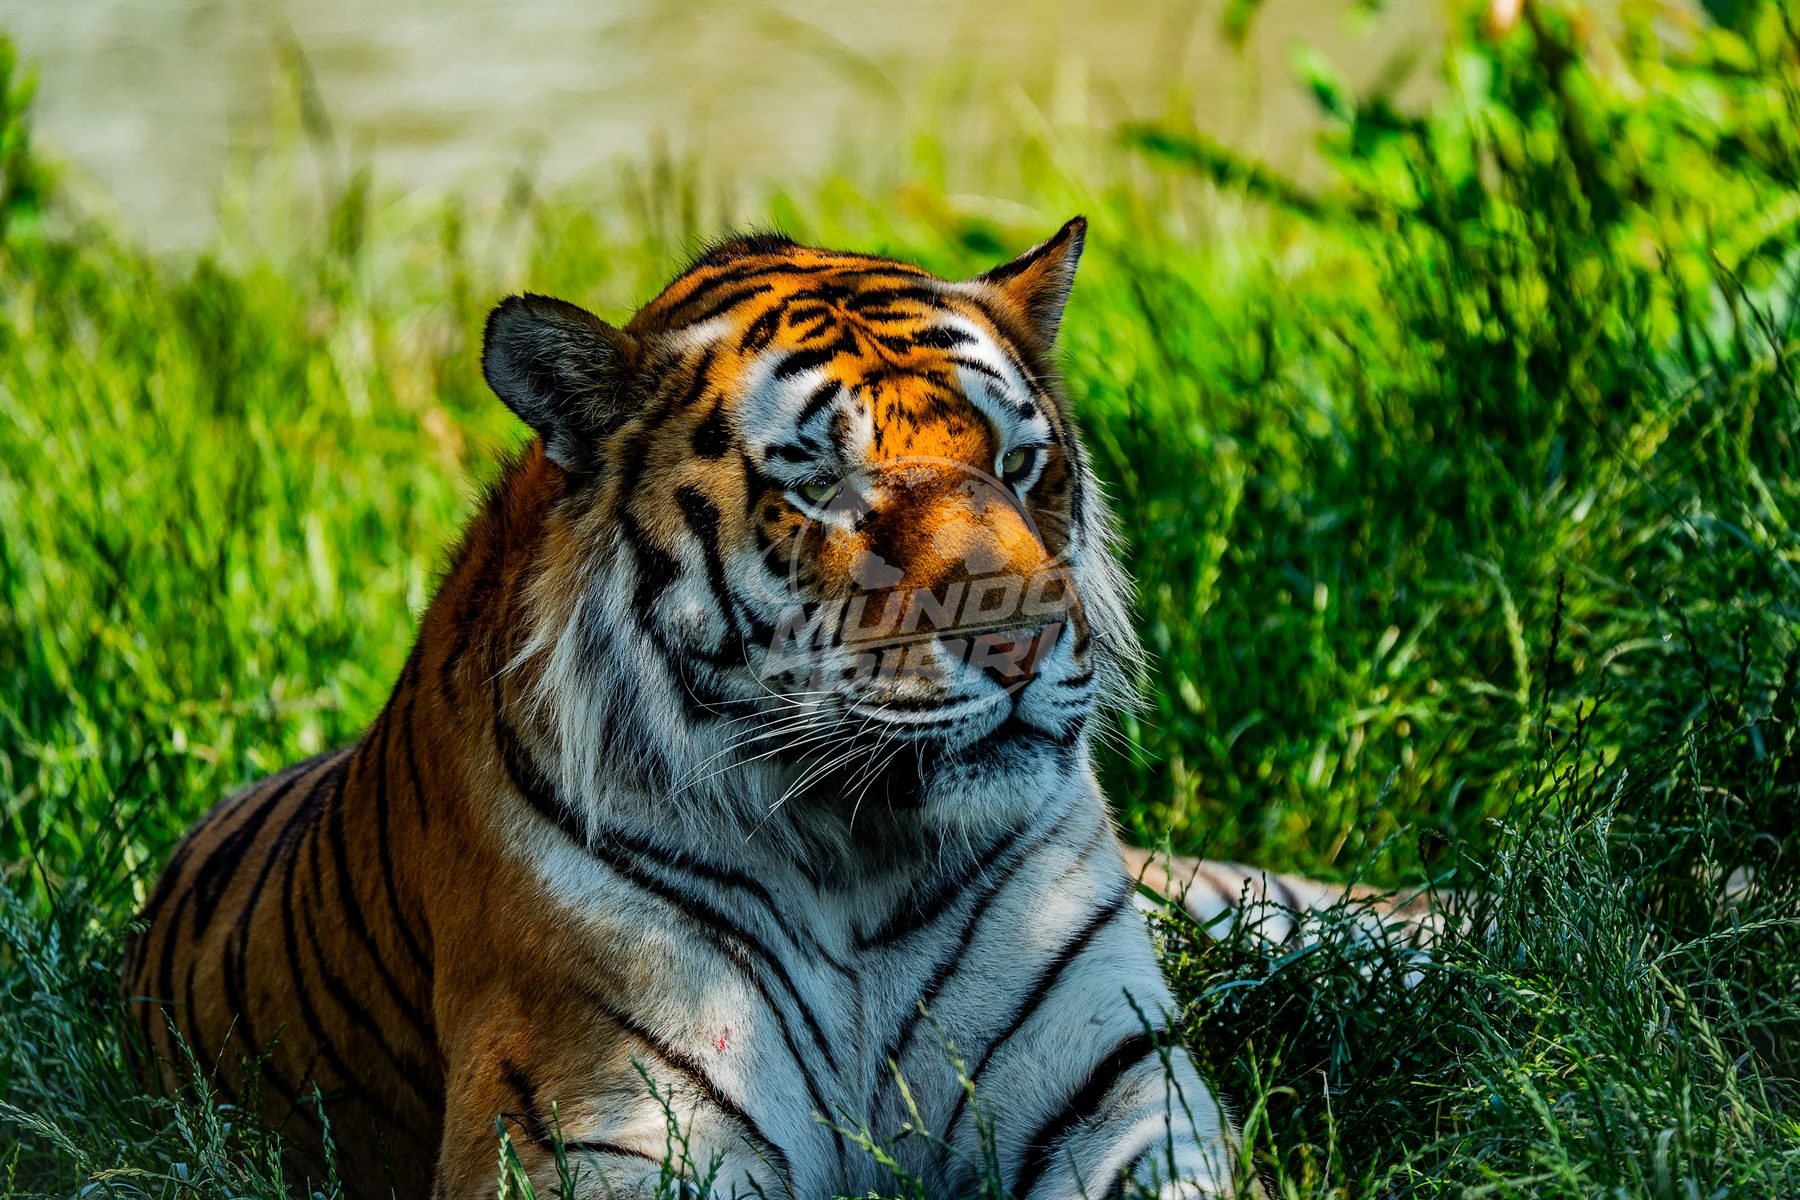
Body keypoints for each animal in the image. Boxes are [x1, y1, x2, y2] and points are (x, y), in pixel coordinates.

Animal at [123, 219, 1426, 1200]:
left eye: (1018, 463)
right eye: (823, 486)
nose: (1020, 641)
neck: (856, 855)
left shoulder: (1121, 1089)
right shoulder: (598, 1130)